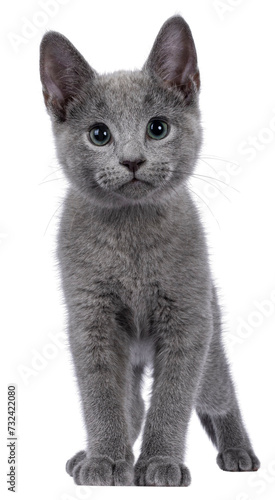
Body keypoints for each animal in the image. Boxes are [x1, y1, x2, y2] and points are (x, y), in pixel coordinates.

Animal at [39, 14, 260, 484]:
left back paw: (238, 451)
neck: (132, 240)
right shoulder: (91, 319)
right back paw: (88, 454)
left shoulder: (189, 320)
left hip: (211, 339)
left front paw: (160, 463)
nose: (132, 160)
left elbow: (173, 399)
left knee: (220, 393)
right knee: (134, 403)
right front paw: (105, 460)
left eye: (157, 128)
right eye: (99, 135)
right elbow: (102, 397)